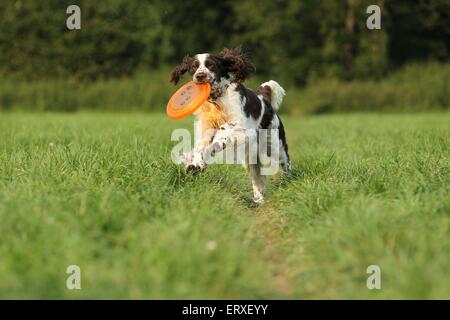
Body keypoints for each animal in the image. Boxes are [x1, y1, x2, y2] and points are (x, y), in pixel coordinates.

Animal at [170, 46, 292, 204]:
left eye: (211, 65)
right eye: (193, 67)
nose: (200, 76)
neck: (216, 100)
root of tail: (265, 99)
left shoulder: (240, 125)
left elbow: (224, 131)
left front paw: (217, 144)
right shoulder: (206, 129)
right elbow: (200, 148)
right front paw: (195, 165)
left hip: (275, 144)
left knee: (286, 162)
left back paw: (289, 181)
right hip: (250, 156)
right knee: (256, 177)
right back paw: (258, 199)